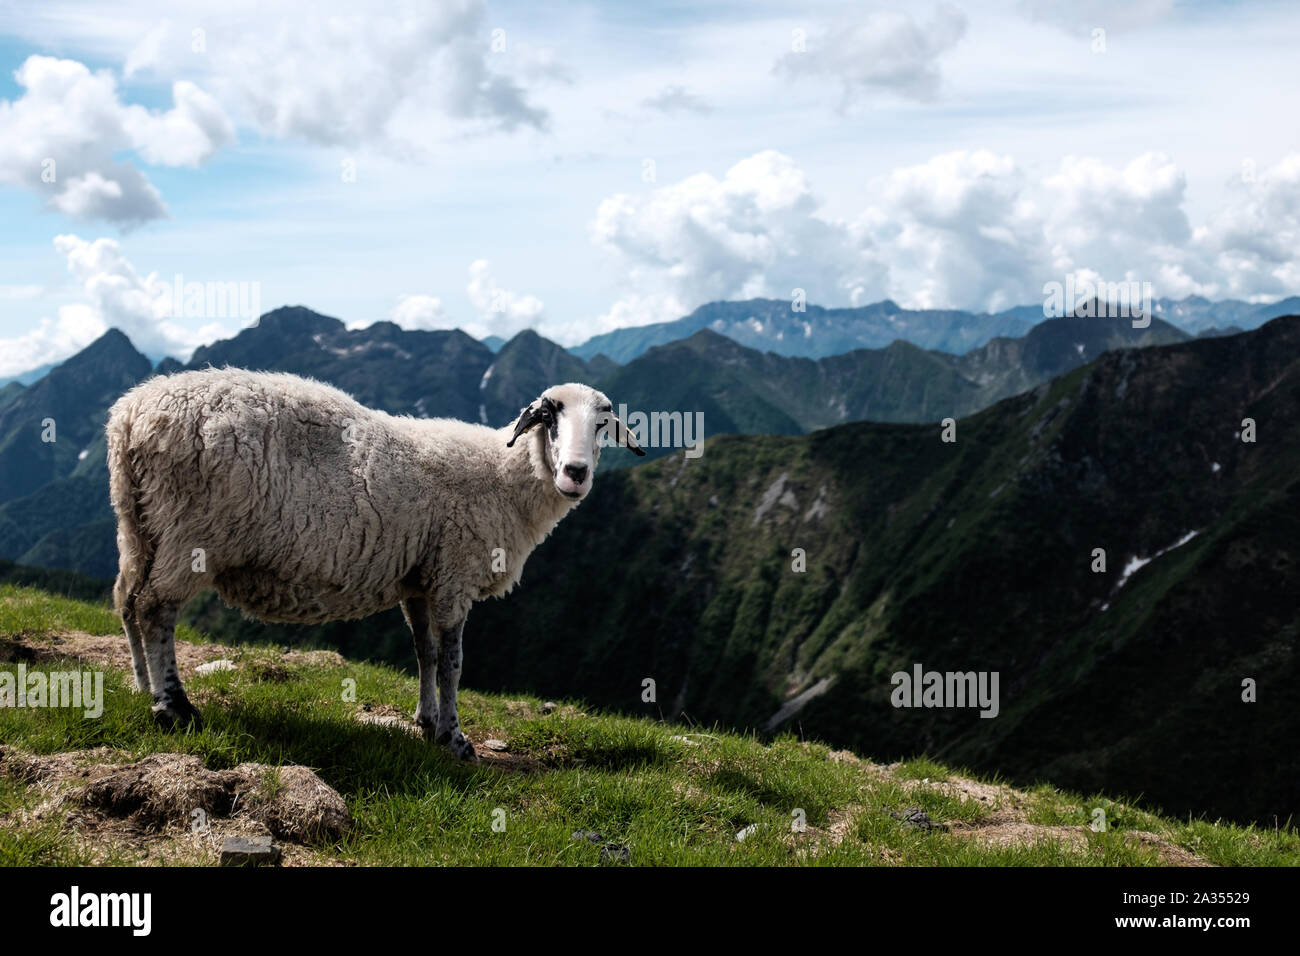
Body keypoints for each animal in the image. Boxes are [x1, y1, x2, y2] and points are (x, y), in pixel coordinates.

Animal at [106, 369, 644, 759]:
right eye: (550, 417)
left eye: (602, 424)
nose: (576, 473)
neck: (504, 477)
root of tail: (130, 415)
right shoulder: (454, 574)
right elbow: (453, 662)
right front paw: (454, 738)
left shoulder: (420, 579)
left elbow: (425, 654)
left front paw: (426, 722)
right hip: (190, 531)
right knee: (155, 608)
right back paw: (173, 707)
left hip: (139, 525)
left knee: (127, 601)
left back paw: (140, 686)